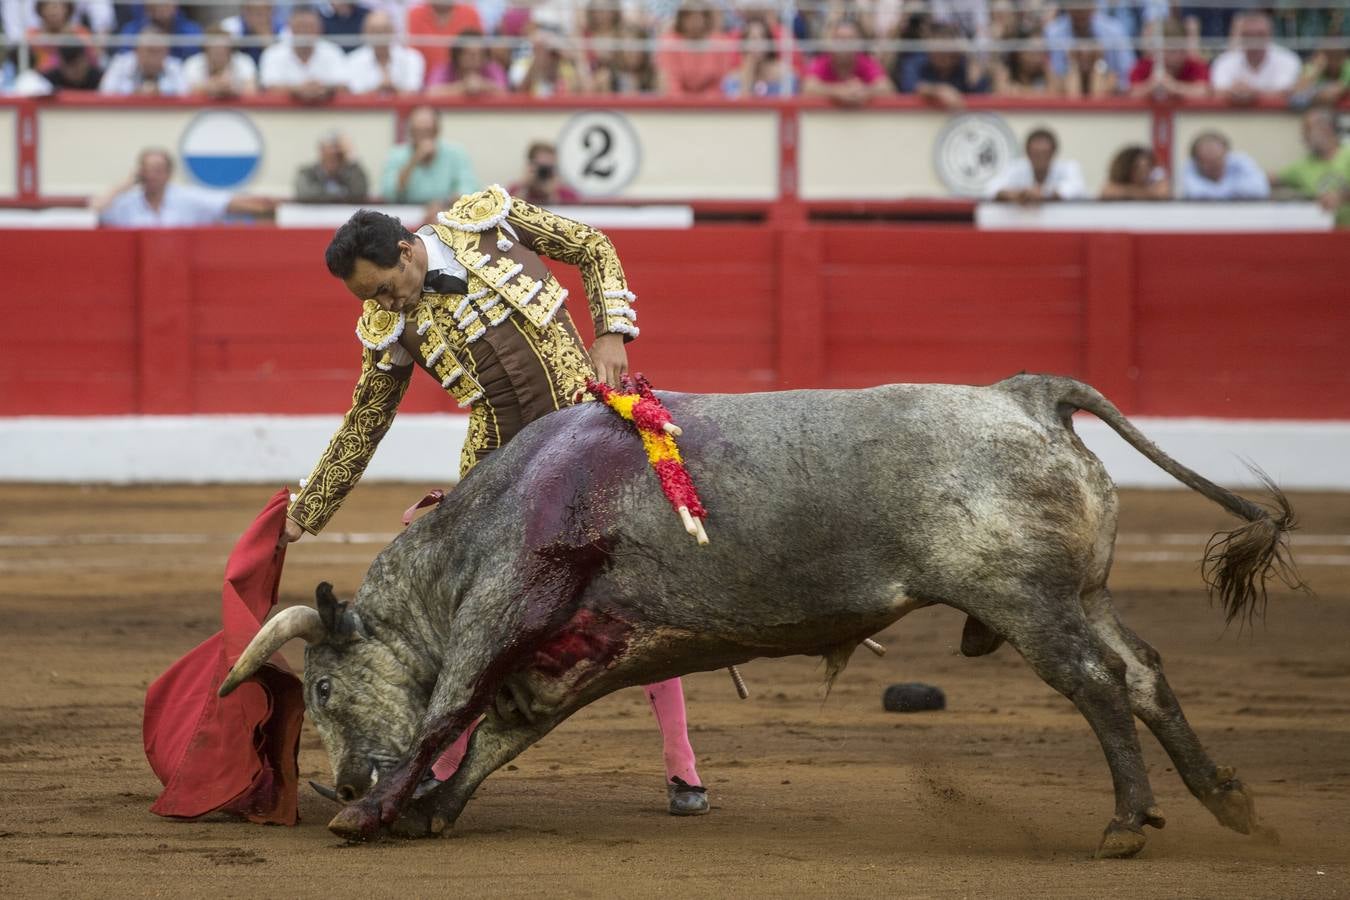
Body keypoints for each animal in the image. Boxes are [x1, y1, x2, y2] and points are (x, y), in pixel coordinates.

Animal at [218, 372, 1296, 858]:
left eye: (322, 687)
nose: (343, 776)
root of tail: (1027, 397)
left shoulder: (507, 608)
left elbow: (448, 712)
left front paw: (369, 813)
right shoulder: (579, 654)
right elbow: (500, 734)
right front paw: (431, 810)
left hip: (1026, 601)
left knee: (1098, 683)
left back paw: (1124, 823)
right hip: (1082, 594)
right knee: (1145, 670)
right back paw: (1227, 800)